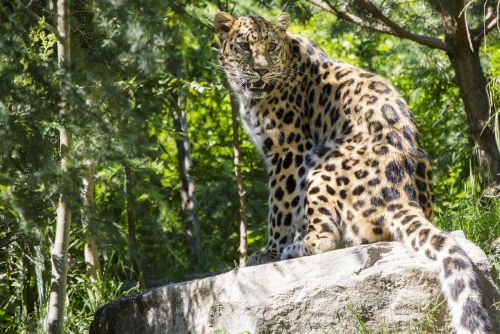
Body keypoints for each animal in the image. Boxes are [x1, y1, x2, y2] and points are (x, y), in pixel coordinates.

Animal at [214, 11, 492, 332]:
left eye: (271, 46)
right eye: (244, 46)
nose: (260, 71)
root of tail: (402, 194)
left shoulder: (290, 150)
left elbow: (281, 207)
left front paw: (270, 252)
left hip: (321, 167)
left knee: (326, 238)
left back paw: (294, 248)